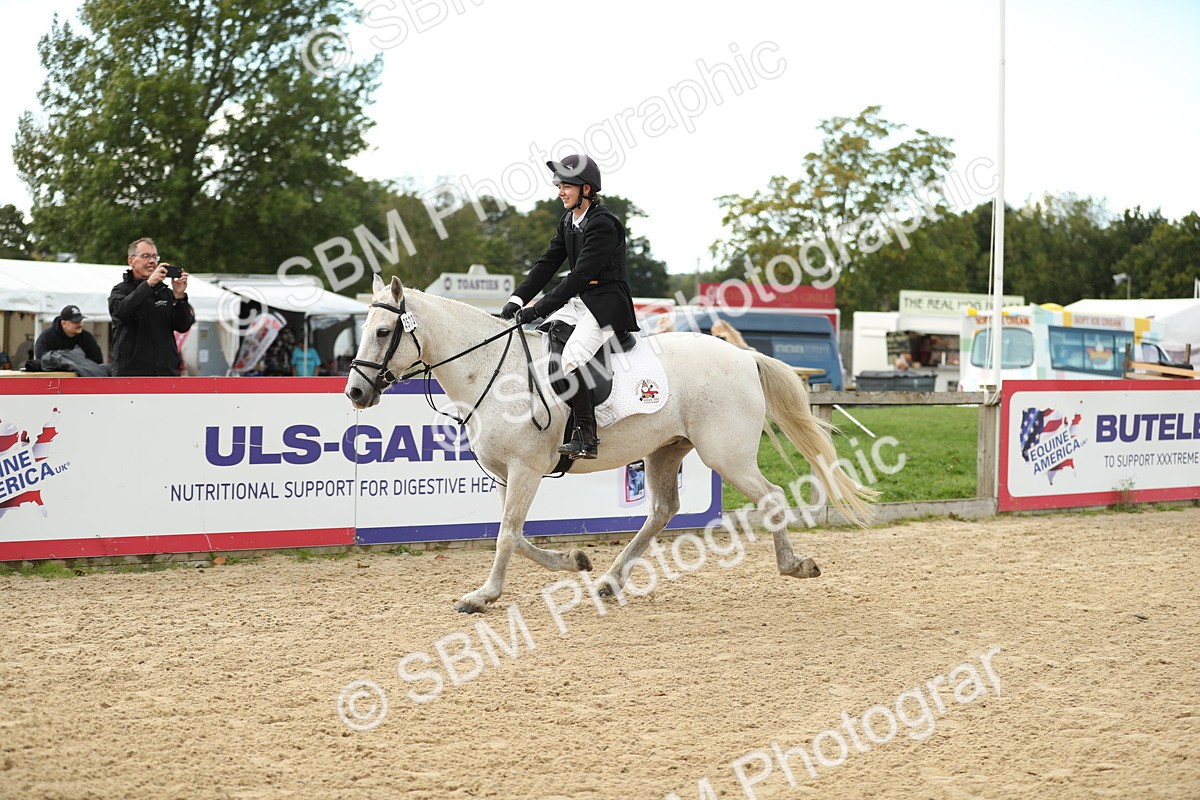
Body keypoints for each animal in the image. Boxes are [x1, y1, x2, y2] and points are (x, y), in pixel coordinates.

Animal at [345, 275, 877, 613]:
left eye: (385, 331)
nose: (355, 393)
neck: (492, 370)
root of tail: (744, 356)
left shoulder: (525, 469)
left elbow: (505, 535)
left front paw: (483, 596)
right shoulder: (504, 472)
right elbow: (513, 533)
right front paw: (574, 561)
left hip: (727, 455)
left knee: (771, 497)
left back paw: (796, 566)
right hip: (667, 449)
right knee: (662, 510)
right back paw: (609, 581)